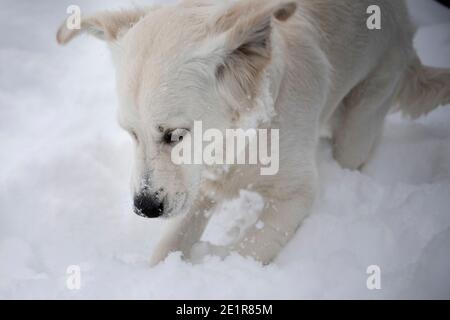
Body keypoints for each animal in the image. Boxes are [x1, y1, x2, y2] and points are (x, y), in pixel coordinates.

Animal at [56, 0, 450, 264]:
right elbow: (167, 246)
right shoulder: (198, 184)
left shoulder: (297, 195)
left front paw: (210, 262)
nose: (144, 208)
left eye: (176, 135)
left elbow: (247, 250)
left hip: (364, 113)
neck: (244, 139)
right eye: (131, 133)